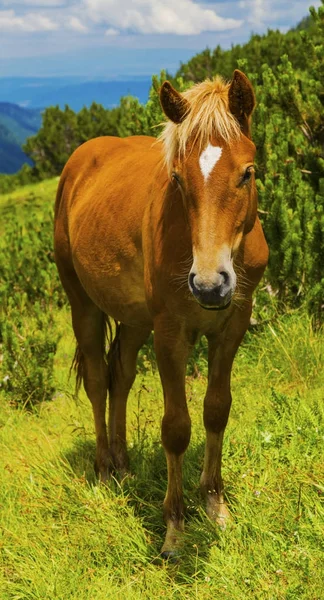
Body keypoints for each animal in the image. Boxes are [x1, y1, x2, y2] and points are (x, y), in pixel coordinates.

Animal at [54, 69, 268, 556]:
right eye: (178, 179)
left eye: (247, 173)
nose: (209, 284)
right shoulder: (170, 333)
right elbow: (176, 427)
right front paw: (175, 529)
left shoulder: (232, 326)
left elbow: (216, 410)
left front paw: (216, 506)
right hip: (83, 305)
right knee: (98, 379)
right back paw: (104, 471)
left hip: (134, 320)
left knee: (121, 376)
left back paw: (123, 464)